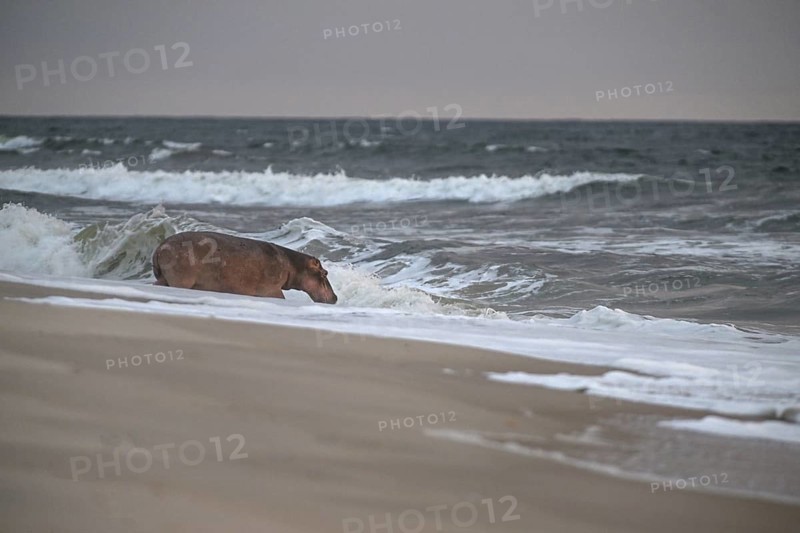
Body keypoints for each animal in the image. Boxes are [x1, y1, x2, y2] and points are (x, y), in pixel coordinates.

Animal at [152, 231, 337, 304]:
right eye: (325, 272)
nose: (335, 297)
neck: (293, 265)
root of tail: (159, 247)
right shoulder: (271, 290)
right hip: (180, 279)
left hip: (165, 277)